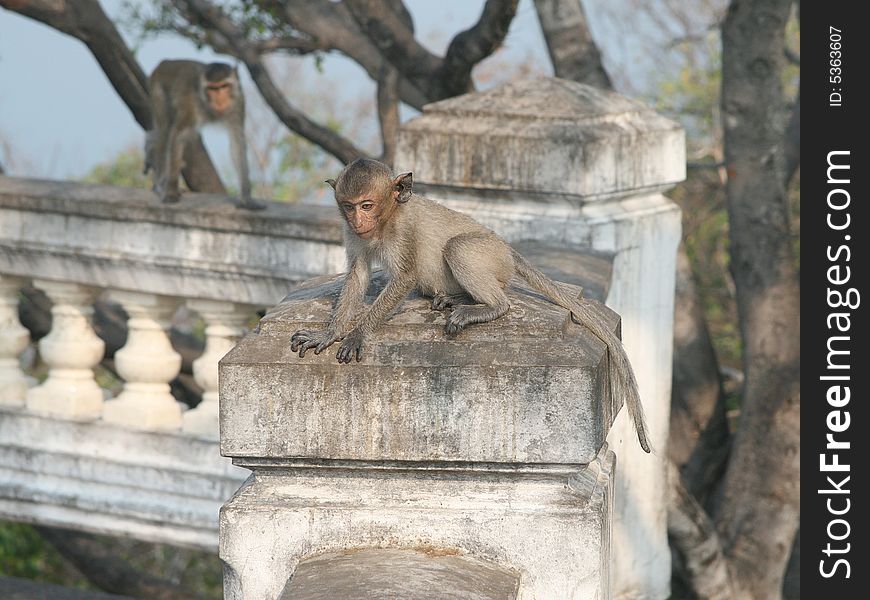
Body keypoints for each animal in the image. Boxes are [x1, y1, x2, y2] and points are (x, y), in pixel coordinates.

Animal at [146, 60, 264, 211]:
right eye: (212, 89)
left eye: (224, 86)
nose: (220, 101)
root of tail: (164, 62)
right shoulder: (191, 103)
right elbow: (179, 134)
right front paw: (171, 190)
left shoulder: (239, 101)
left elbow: (237, 142)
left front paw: (246, 198)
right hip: (157, 90)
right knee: (165, 131)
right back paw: (160, 185)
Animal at [294, 157, 656, 452]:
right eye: (349, 206)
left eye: (367, 205)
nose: (358, 221)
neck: (387, 219)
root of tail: (507, 250)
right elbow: (357, 275)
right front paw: (330, 333)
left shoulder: (403, 231)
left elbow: (404, 277)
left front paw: (358, 334)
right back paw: (455, 298)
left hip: (489, 255)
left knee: (460, 249)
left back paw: (488, 306)